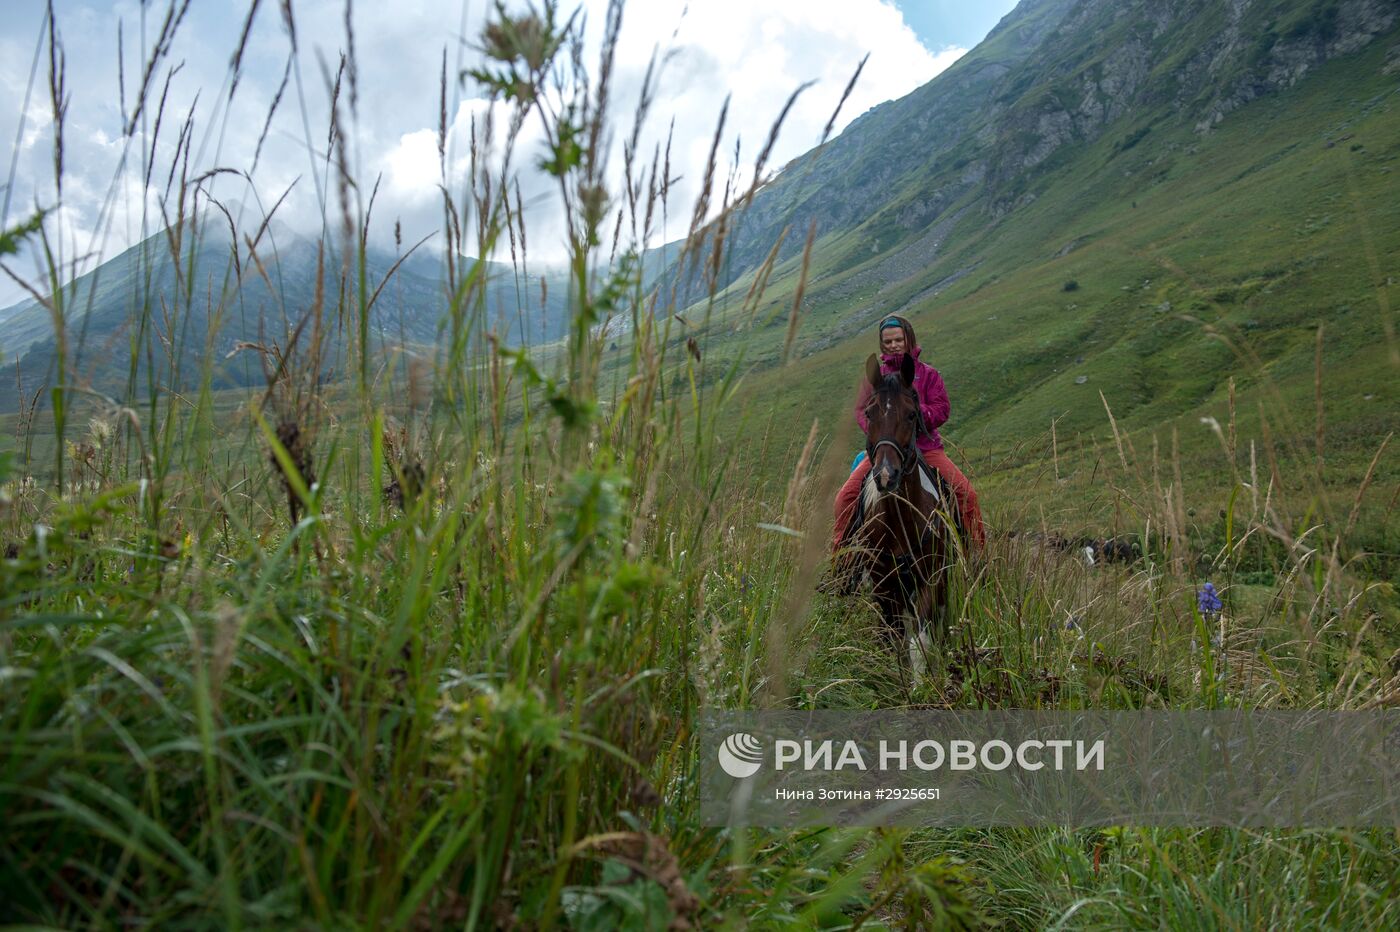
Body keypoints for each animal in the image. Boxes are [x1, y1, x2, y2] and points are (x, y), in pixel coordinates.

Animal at [845, 348, 957, 682]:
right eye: (870, 413)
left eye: (911, 414)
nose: (886, 475)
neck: (900, 521)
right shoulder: (884, 588)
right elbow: (892, 643)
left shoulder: (930, 581)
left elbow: (919, 643)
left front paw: (922, 686)